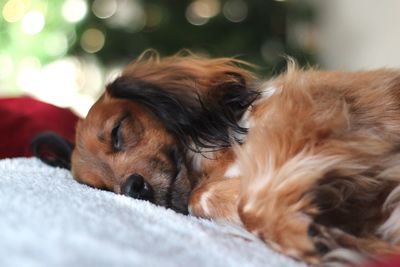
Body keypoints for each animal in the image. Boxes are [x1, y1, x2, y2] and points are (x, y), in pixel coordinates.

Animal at [33, 53, 400, 266]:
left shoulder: (311, 116)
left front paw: (292, 228)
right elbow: (205, 197)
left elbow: (246, 196)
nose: (133, 187)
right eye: (104, 189)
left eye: (117, 132)